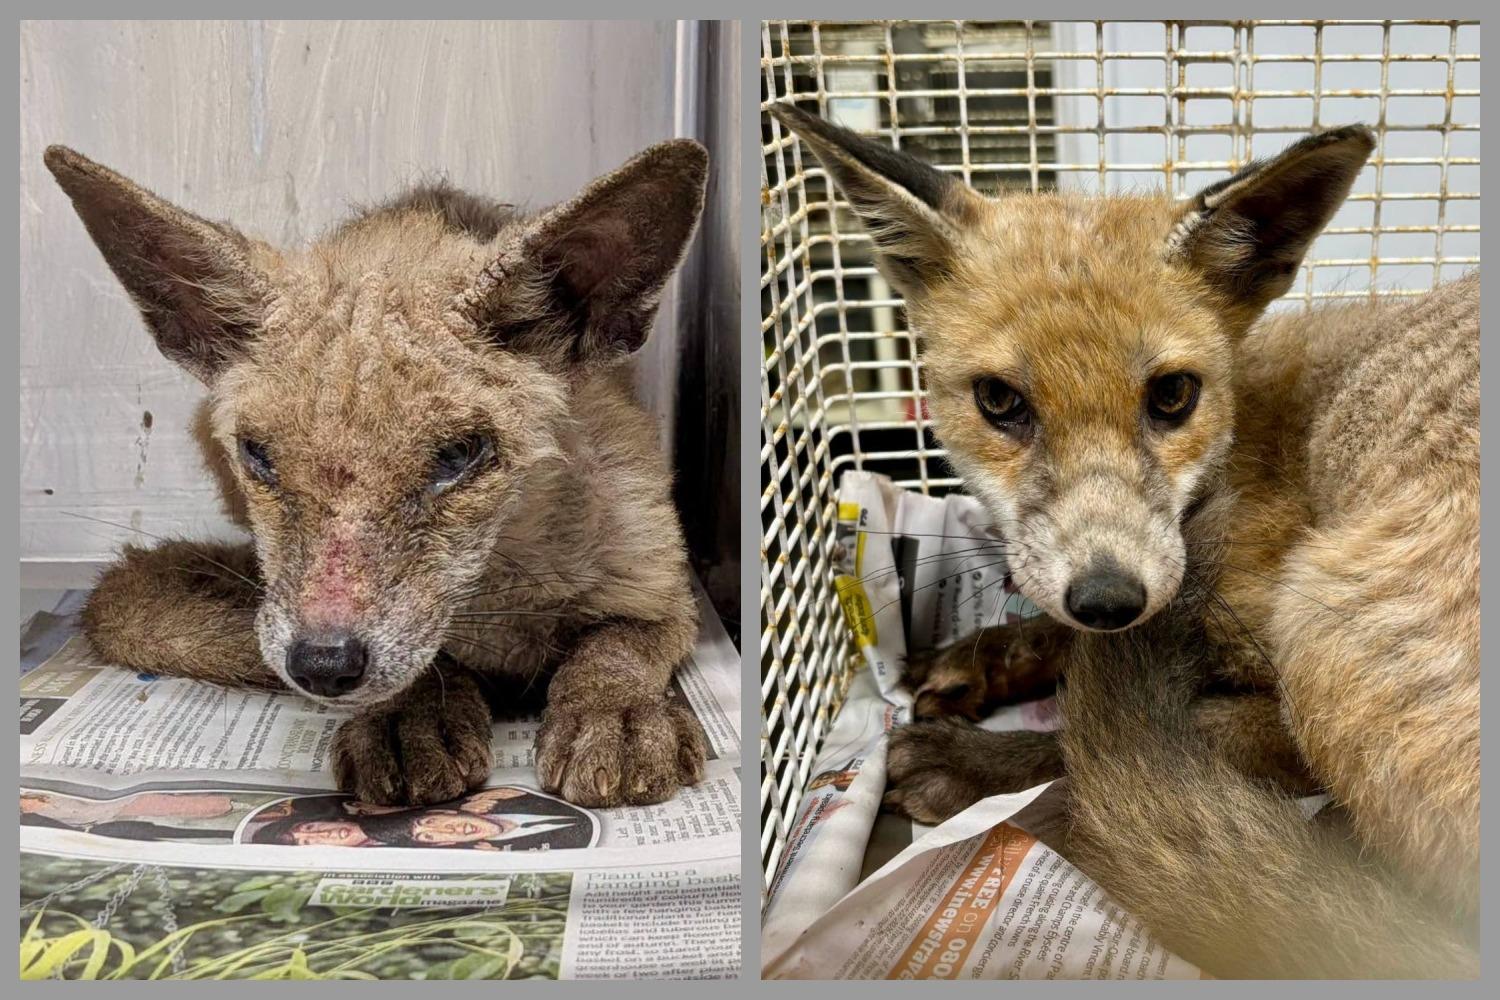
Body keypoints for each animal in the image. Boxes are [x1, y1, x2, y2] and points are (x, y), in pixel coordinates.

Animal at [45, 139, 711, 810]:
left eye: (459, 453)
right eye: (258, 454)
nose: (321, 663)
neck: (504, 601)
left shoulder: (663, 587)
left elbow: (615, 646)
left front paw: (613, 713)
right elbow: (429, 664)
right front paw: (408, 718)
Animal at [770, 104, 1478, 977]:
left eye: (1172, 395)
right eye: (999, 400)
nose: (1109, 599)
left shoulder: (1279, 701)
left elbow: (1113, 742)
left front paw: (978, 763)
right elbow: (1064, 641)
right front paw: (981, 658)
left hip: (1329, 644)